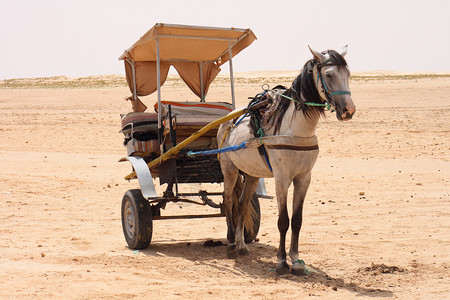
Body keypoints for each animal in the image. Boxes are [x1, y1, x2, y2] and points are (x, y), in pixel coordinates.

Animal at [218, 45, 356, 276]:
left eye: (348, 75)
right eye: (329, 75)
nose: (349, 110)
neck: (295, 130)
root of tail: (227, 119)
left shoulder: (304, 178)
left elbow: (297, 220)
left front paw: (297, 261)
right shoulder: (282, 179)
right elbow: (283, 220)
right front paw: (282, 261)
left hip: (252, 174)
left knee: (242, 203)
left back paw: (241, 245)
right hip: (229, 169)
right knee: (228, 200)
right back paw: (230, 243)